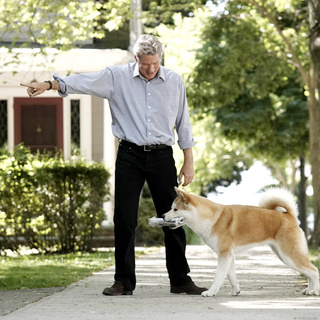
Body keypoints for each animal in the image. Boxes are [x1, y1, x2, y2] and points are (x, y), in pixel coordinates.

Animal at [164, 188, 318, 298]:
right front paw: (236, 290)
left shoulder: (224, 254)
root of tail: (289, 216)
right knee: (309, 272)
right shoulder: (229, 255)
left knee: (313, 270)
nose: (163, 216)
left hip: (289, 255)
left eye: (175, 209)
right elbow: (231, 275)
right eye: (171, 207)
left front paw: (211, 292)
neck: (212, 218)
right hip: (283, 255)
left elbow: (219, 276)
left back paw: (314, 291)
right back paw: (309, 290)